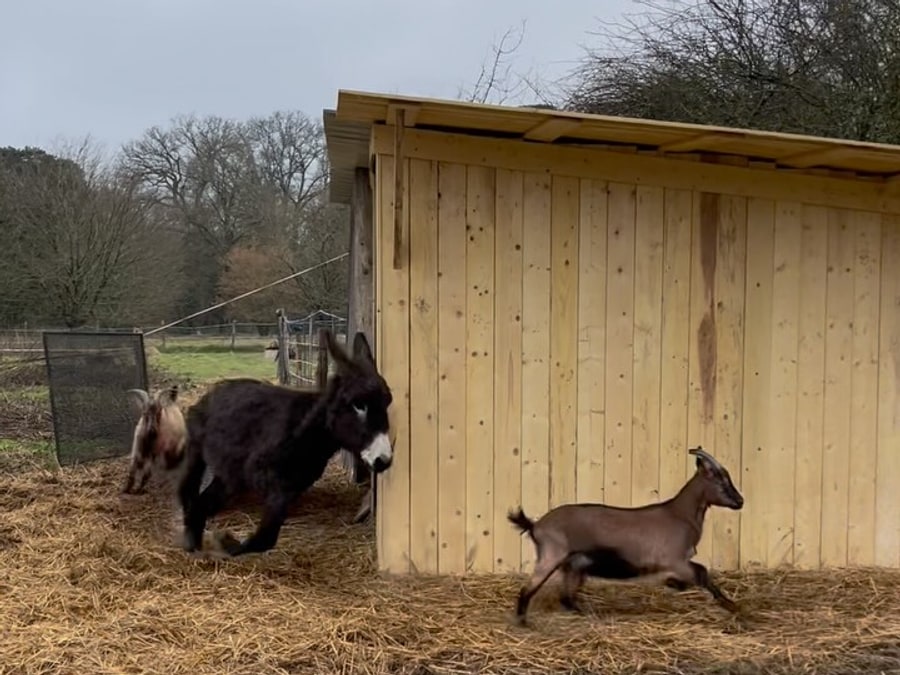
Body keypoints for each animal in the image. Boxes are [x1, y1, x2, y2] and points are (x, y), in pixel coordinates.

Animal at [177, 330, 394, 557]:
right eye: (358, 405)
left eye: (388, 402)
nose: (384, 460)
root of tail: (210, 394)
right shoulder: (268, 483)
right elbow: (265, 538)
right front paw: (225, 542)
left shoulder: (287, 489)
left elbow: (266, 538)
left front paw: (225, 544)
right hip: (200, 457)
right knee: (190, 495)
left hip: (228, 475)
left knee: (199, 504)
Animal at [508, 446, 743, 624]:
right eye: (721, 481)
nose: (740, 502)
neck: (680, 514)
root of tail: (536, 525)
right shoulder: (674, 560)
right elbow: (701, 573)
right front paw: (731, 605)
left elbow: (696, 574)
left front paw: (675, 584)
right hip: (551, 556)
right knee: (528, 589)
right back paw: (523, 622)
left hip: (574, 564)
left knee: (566, 597)